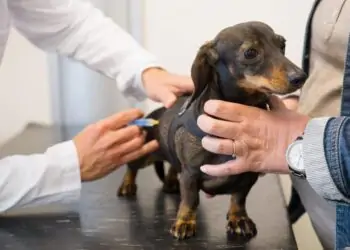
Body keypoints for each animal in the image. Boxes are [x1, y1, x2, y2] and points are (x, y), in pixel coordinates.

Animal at [116, 22, 304, 242]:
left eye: (282, 45)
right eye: (250, 52)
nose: (300, 77)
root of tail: (157, 112)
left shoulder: (248, 175)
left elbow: (238, 198)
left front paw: (239, 219)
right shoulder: (190, 173)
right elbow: (190, 200)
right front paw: (184, 222)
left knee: (173, 167)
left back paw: (170, 183)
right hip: (145, 153)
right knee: (132, 167)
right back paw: (127, 186)